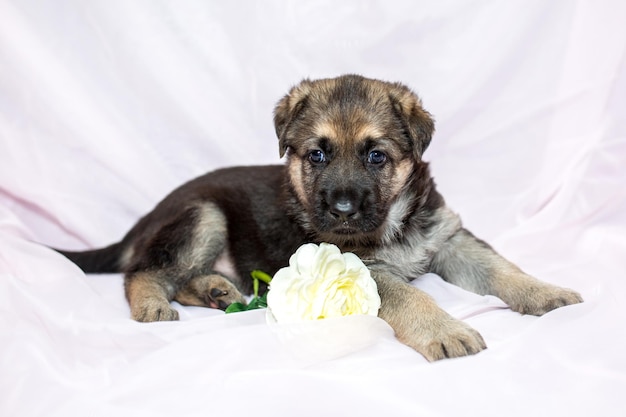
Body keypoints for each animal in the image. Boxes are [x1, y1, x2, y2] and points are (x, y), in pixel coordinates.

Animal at [58, 75, 580, 360]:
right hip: (203, 216)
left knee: (180, 275)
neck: (394, 221)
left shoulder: (450, 239)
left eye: (376, 156)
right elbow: (414, 298)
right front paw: (445, 331)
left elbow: (501, 268)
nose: (343, 209)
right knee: (143, 270)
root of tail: (148, 216)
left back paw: (214, 290)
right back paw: (152, 304)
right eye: (317, 155)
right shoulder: (364, 271)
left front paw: (545, 292)